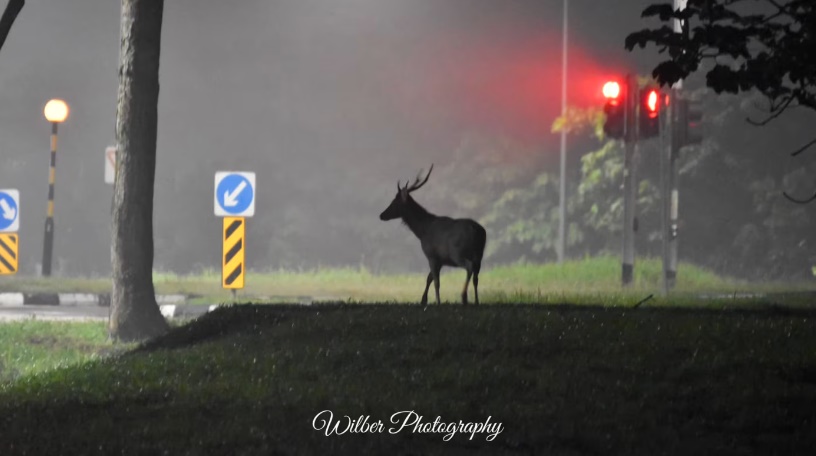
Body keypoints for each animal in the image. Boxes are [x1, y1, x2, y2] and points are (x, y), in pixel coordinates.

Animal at [380, 165, 488, 306]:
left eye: (394, 202)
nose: (381, 215)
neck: (422, 231)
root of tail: (477, 231)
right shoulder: (439, 259)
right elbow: (429, 278)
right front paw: (423, 300)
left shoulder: (431, 255)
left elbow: (436, 281)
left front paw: (437, 301)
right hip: (479, 254)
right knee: (476, 276)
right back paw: (476, 301)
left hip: (457, 253)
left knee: (469, 267)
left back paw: (464, 297)